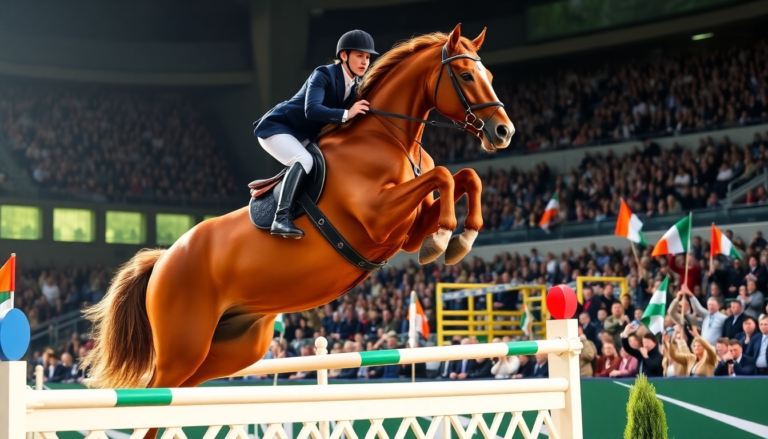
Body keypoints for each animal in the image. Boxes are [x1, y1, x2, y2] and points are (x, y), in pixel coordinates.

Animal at [82, 24, 513, 397]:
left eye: (490, 73)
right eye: (466, 75)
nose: (503, 132)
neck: (388, 137)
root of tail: (163, 259)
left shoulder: (405, 231)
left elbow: (466, 177)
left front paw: (459, 239)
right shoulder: (378, 218)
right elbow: (444, 176)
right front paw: (445, 239)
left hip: (229, 349)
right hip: (183, 346)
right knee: (152, 389)